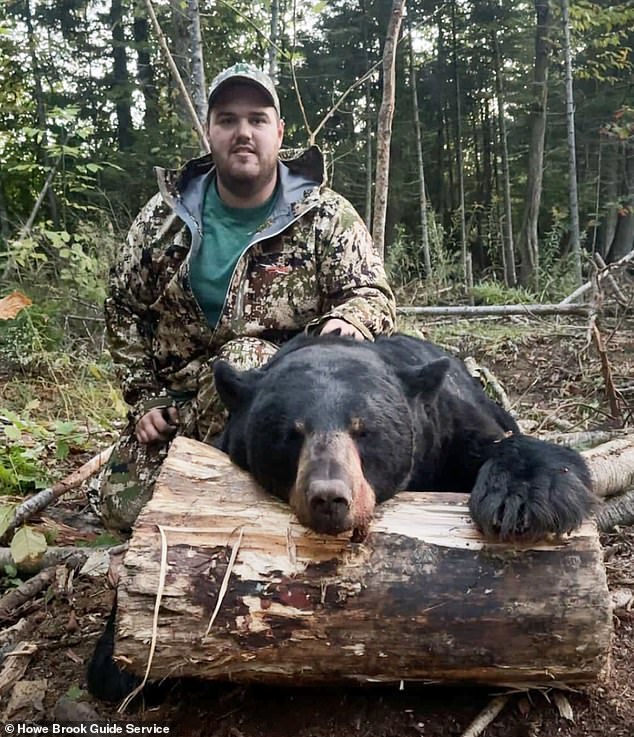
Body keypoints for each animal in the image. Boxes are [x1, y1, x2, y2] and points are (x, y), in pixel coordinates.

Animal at [215, 334, 596, 540]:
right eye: (291, 434)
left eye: (364, 430)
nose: (328, 498)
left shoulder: (447, 427)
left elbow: (503, 446)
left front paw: (519, 502)